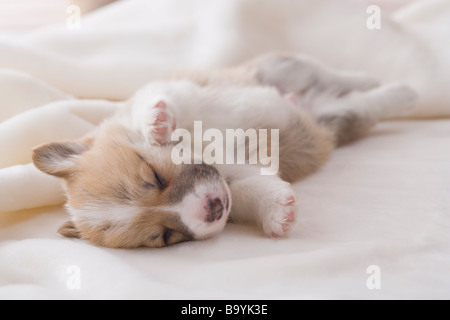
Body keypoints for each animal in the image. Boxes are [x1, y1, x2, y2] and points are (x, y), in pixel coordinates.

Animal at [32, 52, 418, 248]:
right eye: (164, 237)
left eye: (154, 176)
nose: (213, 209)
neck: (207, 151)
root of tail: (308, 101)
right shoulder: (237, 178)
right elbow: (250, 191)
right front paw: (277, 212)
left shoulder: (168, 91)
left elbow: (156, 103)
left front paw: (156, 122)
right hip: (340, 118)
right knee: (366, 104)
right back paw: (397, 93)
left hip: (277, 66)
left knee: (329, 72)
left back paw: (386, 83)